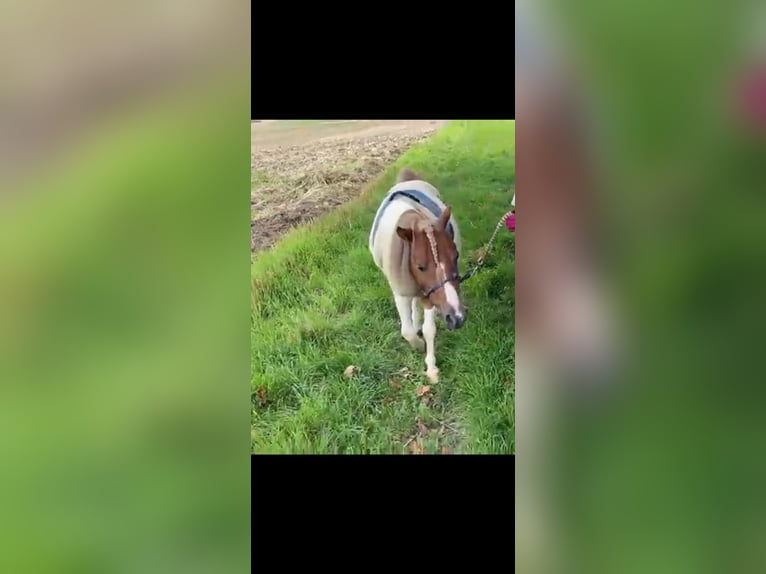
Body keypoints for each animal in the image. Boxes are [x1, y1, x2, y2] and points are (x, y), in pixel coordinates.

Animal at [369, 167, 466, 383]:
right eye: (420, 267)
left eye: (456, 256)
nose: (457, 318)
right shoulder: (401, 290)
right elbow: (407, 332)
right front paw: (419, 345)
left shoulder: (430, 295)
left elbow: (430, 330)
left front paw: (431, 368)